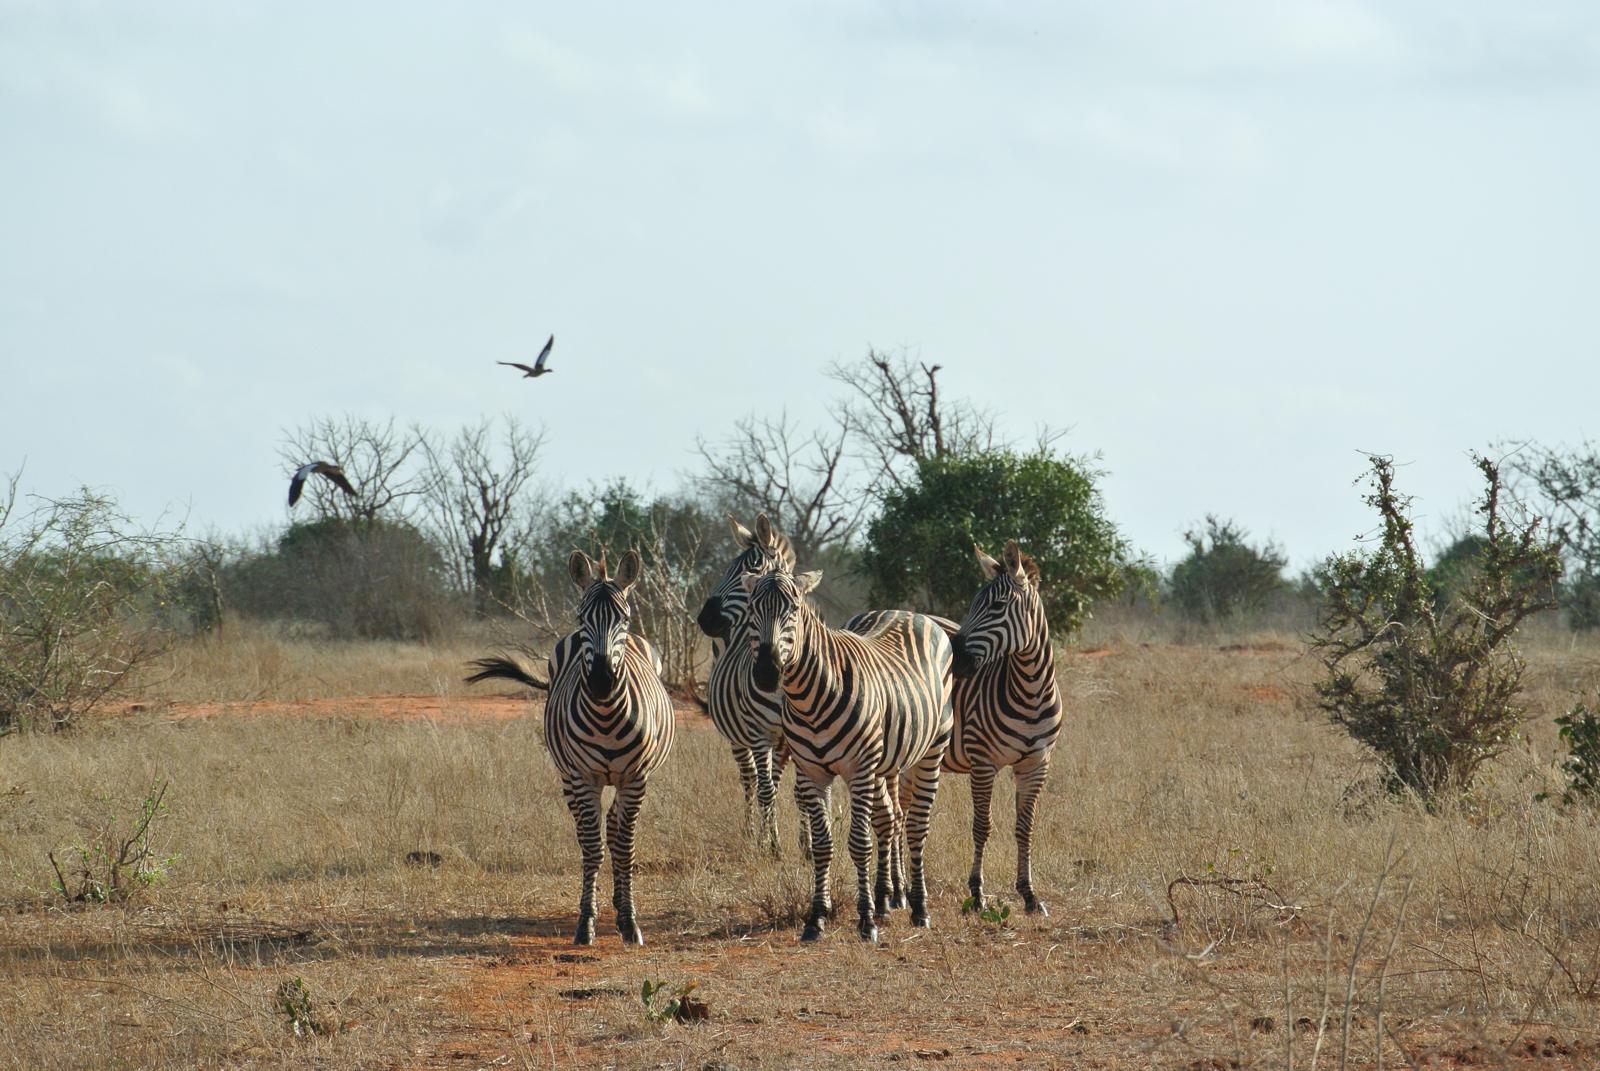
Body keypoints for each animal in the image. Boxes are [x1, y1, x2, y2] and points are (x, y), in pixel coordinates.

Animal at [465, 549, 675, 946]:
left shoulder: (636, 778)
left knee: (616, 829)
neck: (607, 714)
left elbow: (624, 847)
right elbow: (592, 848)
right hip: (567, 777)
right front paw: (585, 922)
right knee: (587, 832)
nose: (601, 680)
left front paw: (629, 922)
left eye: (624, 619)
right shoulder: (581, 776)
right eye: (581, 617)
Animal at [695, 513, 800, 854]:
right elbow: (765, 788)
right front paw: (772, 845)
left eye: (751, 570)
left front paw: (802, 845)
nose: (705, 619)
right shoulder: (757, 732)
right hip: (738, 737)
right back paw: (752, 832)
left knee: (769, 780)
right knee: (751, 778)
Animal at [743, 569, 953, 942]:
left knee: (915, 826)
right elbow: (823, 844)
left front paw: (865, 920)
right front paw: (816, 918)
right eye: (752, 609)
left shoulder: (858, 770)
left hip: (931, 750)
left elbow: (858, 842)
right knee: (890, 819)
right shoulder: (810, 771)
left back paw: (918, 907)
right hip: (884, 765)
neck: (809, 697)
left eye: (794, 609)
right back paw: (886, 898)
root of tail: (906, 612)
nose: (767, 672)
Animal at [944, 540, 1062, 916]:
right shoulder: (983, 763)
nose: (954, 661)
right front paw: (977, 894)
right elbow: (982, 827)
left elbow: (1024, 828)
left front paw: (1029, 895)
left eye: (997, 606)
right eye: (971, 603)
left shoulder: (1036, 765)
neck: (1031, 689)